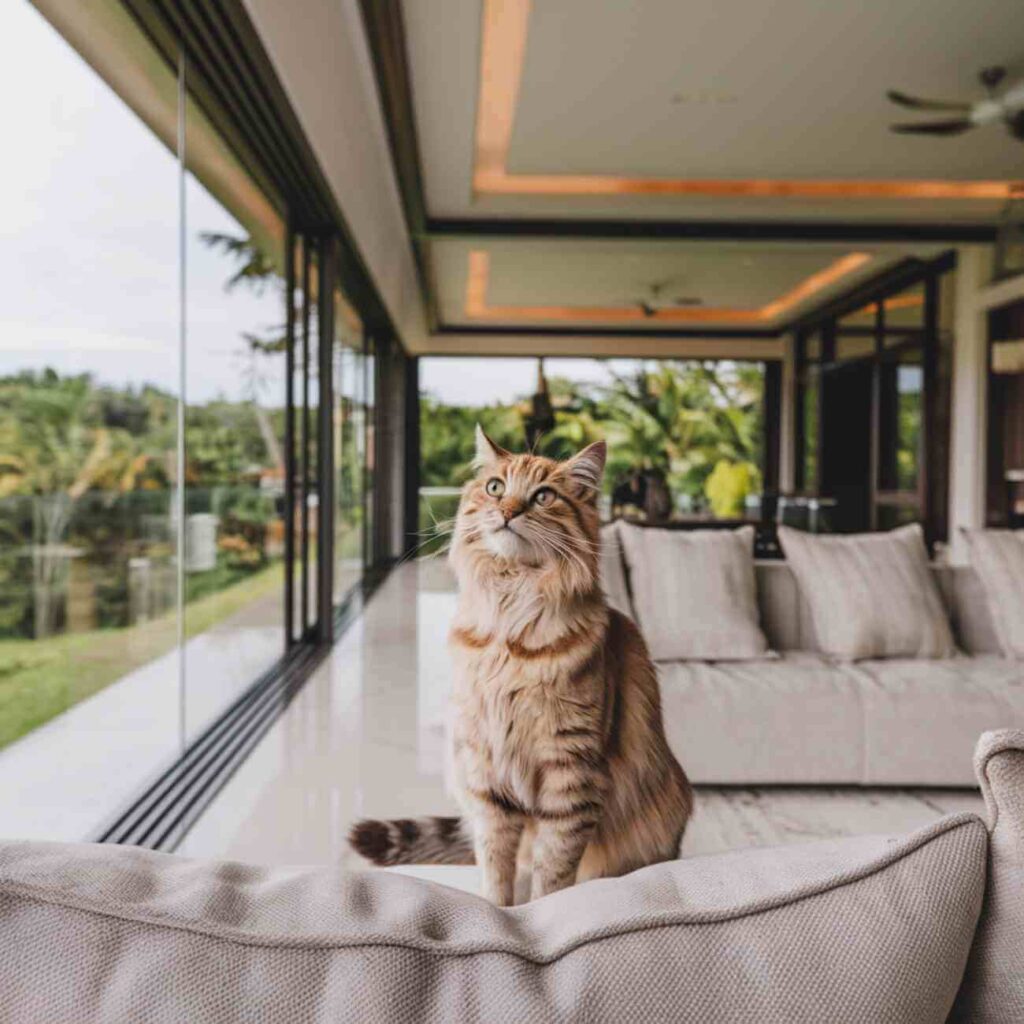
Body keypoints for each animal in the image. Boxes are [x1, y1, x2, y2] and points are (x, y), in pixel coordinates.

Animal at [348, 425, 692, 905]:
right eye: (495, 488)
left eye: (543, 496)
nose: (508, 511)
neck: (508, 631)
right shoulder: (486, 773)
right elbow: (496, 868)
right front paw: (498, 912)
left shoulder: (570, 774)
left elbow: (554, 871)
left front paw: (541, 912)